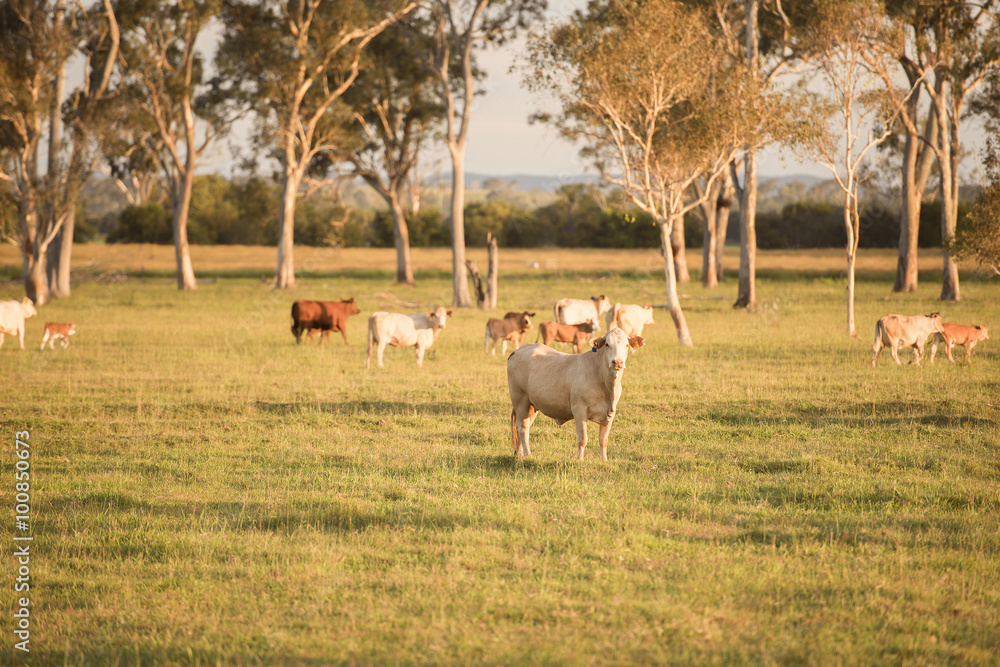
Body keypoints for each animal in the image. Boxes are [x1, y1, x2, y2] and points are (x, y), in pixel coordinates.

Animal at [508, 326, 648, 462]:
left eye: (626, 345)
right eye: (607, 344)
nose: (617, 362)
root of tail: (519, 350)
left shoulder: (611, 413)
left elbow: (603, 440)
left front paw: (604, 460)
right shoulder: (579, 410)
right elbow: (582, 439)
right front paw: (580, 460)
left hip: (532, 405)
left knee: (521, 427)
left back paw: (519, 453)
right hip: (520, 400)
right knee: (522, 427)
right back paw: (528, 455)